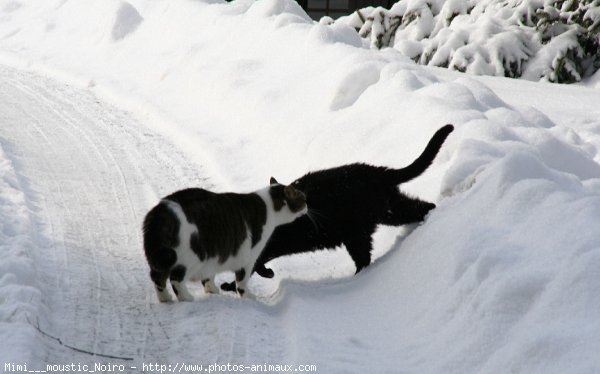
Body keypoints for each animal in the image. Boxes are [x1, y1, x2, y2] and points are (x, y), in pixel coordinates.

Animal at [143, 180, 308, 300]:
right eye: (303, 198)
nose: (307, 205)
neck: (268, 209)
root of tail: (161, 211)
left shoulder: (213, 260)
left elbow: (209, 277)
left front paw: (212, 290)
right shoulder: (248, 258)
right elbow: (241, 281)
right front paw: (247, 296)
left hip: (162, 257)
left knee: (157, 277)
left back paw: (165, 299)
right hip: (191, 256)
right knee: (175, 279)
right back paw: (186, 298)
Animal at [221, 124, 454, 290]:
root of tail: (378, 171)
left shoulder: (264, 249)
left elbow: (253, 268)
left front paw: (238, 284)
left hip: (358, 233)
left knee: (364, 259)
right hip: (387, 211)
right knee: (419, 207)